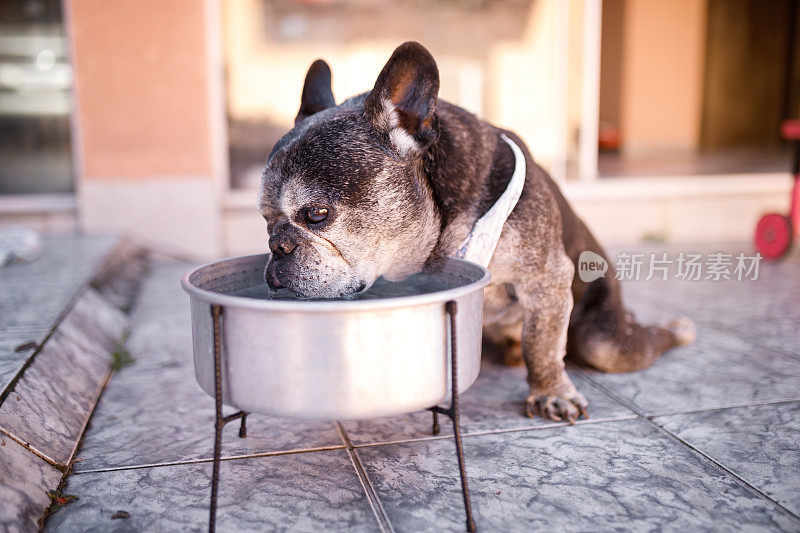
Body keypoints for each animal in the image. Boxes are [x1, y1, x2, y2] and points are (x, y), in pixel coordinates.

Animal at [258, 41, 692, 422]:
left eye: (317, 214)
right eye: (265, 220)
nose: (278, 246)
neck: (446, 221)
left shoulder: (547, 278)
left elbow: (543, 344)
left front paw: (551, 391)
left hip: (606, 332)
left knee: (612, 344)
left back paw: (675, 329)